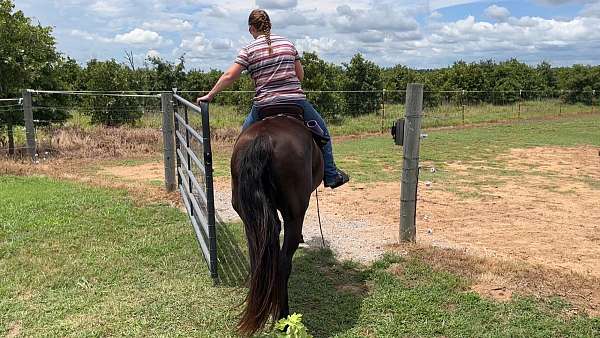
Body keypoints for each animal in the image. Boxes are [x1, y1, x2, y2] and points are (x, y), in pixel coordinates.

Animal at [230, 105, 324, 336]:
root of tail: (263, 138)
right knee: (282, 262)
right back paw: (284, 317)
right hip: (294, 213)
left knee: (260, 257)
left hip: (249, 216)